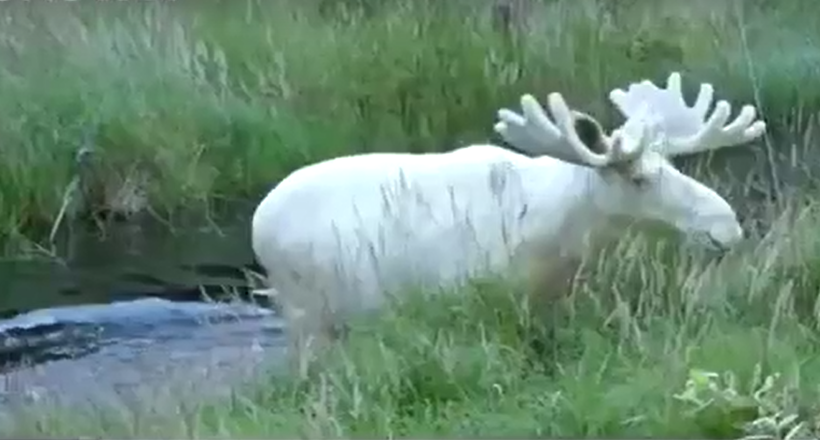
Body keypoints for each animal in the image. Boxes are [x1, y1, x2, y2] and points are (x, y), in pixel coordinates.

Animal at [253, 73, 764, 372]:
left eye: (674, 165)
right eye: (638, 178)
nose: (726, 227)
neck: (558, 241)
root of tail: (259, 221)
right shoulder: (463, 302)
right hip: (307, 315)